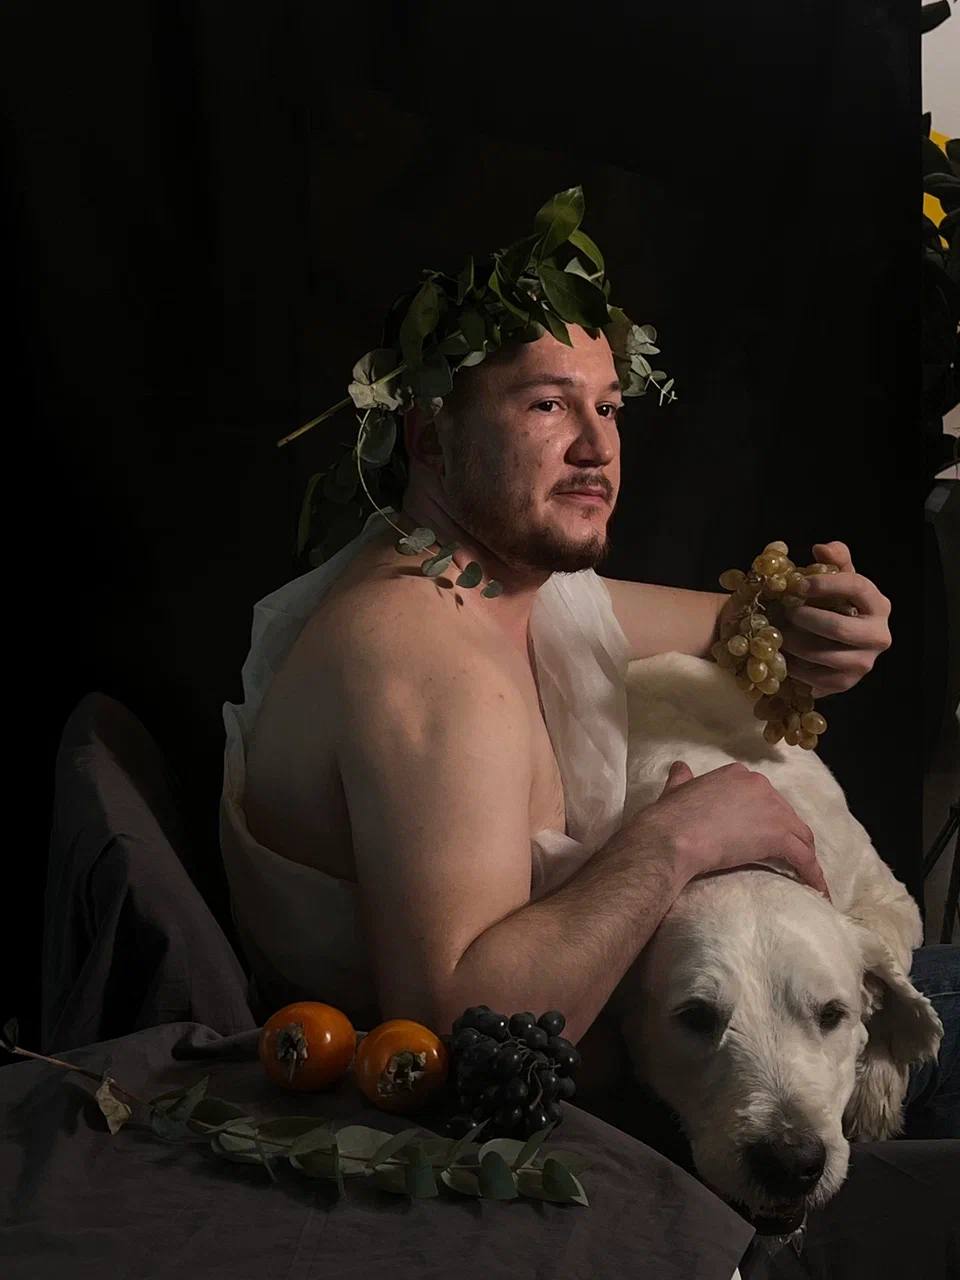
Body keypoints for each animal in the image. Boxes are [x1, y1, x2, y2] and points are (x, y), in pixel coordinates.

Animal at [605, 652, 943, 1232]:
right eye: (696, 1016)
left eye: (833, 1014)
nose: (790, 1163)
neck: (739, 857)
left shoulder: (888, 894)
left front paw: (879, 1079)